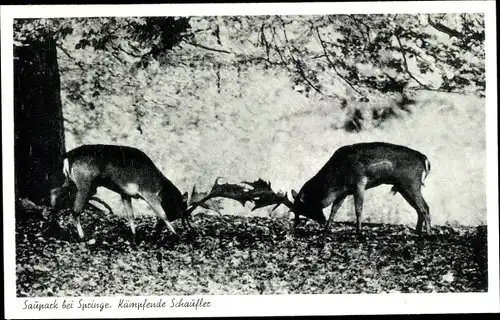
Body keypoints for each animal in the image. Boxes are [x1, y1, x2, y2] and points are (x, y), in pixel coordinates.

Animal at [49, 144, 189, 239]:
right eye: (182, 207)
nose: (186, 226)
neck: (160, 186)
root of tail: (68, 155)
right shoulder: (149, 194)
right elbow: (162, 214)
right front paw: (176, 234)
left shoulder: (125, 193)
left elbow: (130, 215)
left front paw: (134, 234)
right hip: (85, 185)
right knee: (75, 210)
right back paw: (82, 236)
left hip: (70, 182)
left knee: (55, 192)